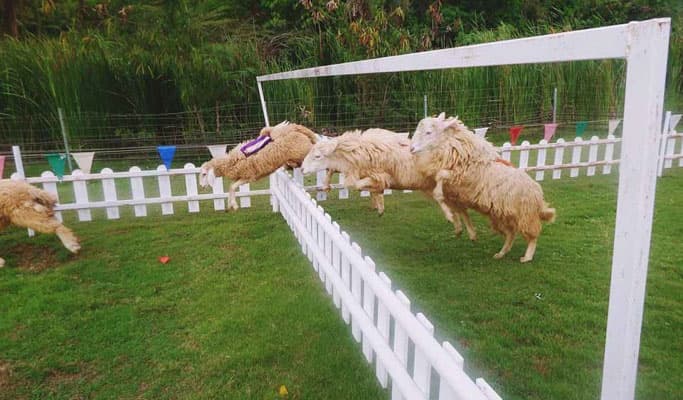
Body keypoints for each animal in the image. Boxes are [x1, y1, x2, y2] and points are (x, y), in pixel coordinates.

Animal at [301, 128, 483, 240]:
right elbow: (342, 176)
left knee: (460, 206)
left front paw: (377, 197)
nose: (302, 169)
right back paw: (462, 229)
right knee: (456, 207)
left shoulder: (378, 174)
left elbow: (356, 184)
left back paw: (463, 227)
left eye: (317, 156)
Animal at [410, 113, 556, 262]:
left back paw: (527, 256)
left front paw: (449, 215)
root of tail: (539, 196)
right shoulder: (455, 186)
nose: (411, 149)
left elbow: (440, 177)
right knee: (511, 234)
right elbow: (444, 191)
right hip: (502, 215)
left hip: (525, 215)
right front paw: (457, 221)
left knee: (533, 236)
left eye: (428, 132)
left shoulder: (463, 176)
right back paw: (501, 253)